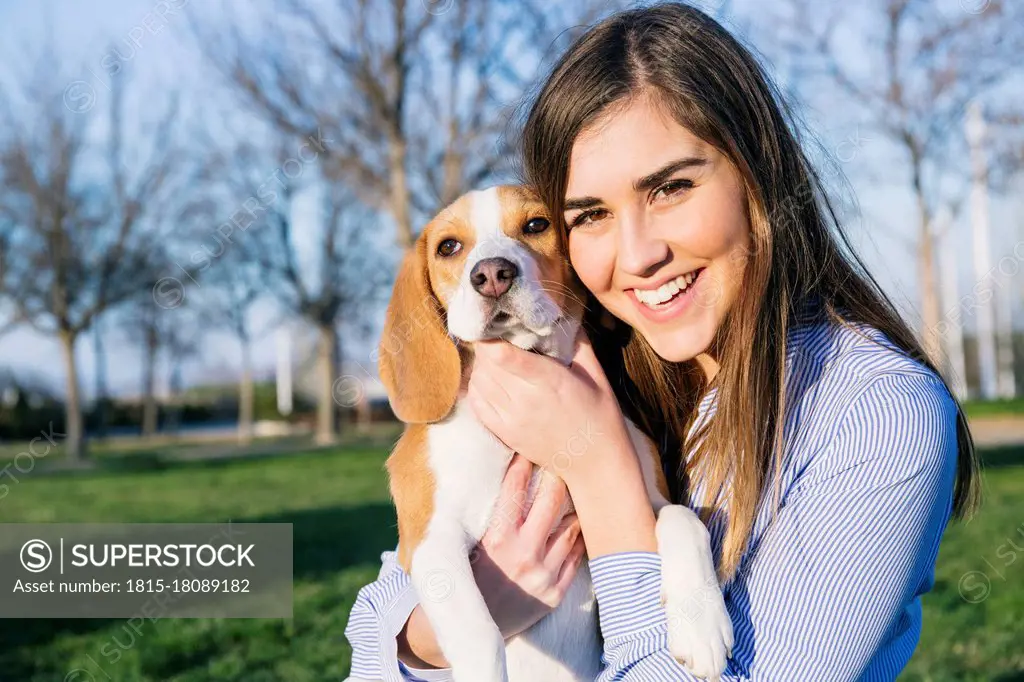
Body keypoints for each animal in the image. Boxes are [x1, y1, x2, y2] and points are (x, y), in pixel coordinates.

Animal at [380, 186, 733, 679]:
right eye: (448, 246)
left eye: (535, 225)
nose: (492, 275)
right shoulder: (430, 540)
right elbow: (479, 632)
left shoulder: (645, 498)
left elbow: (685, 519)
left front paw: (701, 625)